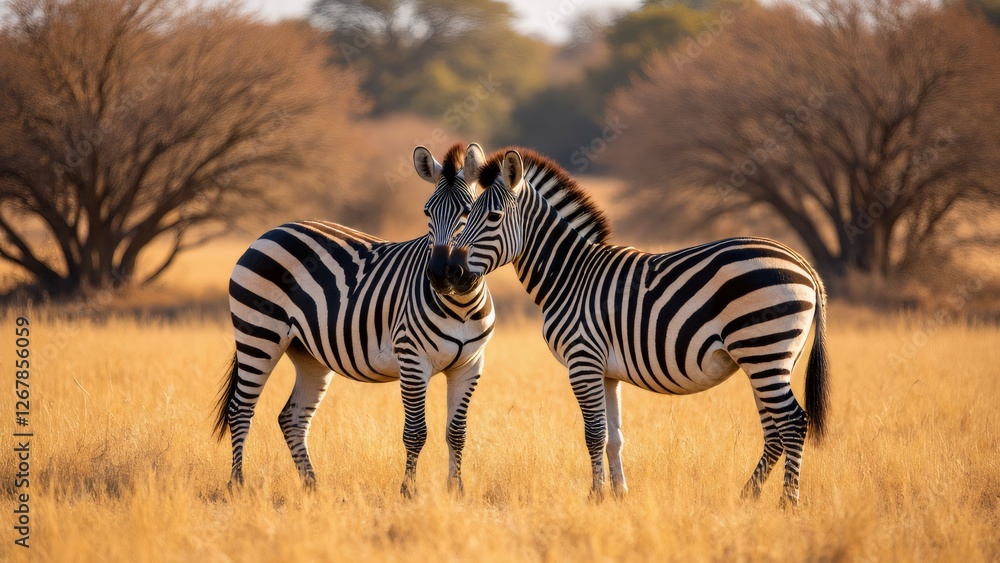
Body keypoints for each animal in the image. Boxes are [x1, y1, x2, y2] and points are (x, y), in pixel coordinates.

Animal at [213, 143, 494, 496]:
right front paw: (408, 492)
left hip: (307, 352)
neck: (461, 304)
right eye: (427, 213)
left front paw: (456, 491)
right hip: (258, 335)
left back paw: (313, 487)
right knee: (241, 410)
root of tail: (271, 231)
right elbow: (416, 432)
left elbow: (456, 432)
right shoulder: (412, 360)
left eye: (468, 212)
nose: (440, 274)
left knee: (292, 418)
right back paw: (237, 484)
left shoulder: (470, 365)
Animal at [435, 148, 830, 505]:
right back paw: (749, 495)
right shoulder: (607, 371)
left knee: (793, 423)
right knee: (775, 430)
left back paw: (787, 502)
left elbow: (594, 433)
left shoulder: (583, 361)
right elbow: (614, 436)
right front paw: (619, 494)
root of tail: (803, 264)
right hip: (771, 358)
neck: (571, 275)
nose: (448, 273)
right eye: (467, 214)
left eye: (493, 217)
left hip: (764, 350)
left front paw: (595, 496)